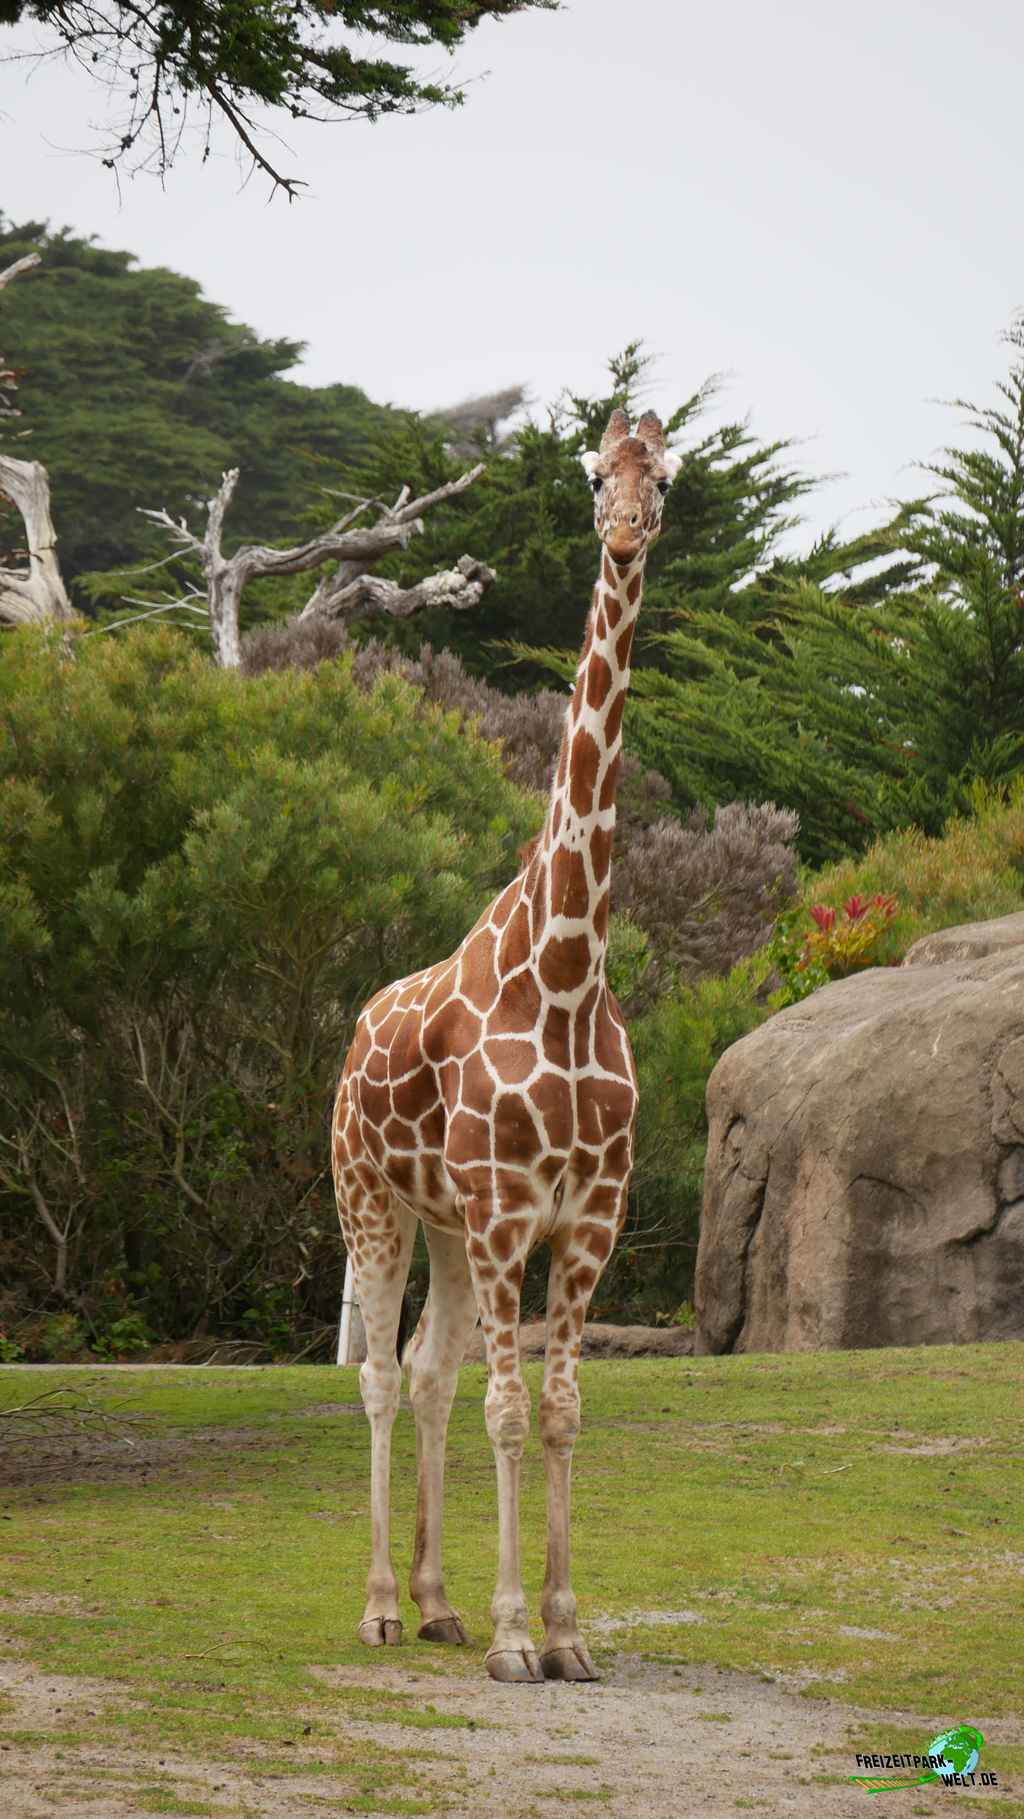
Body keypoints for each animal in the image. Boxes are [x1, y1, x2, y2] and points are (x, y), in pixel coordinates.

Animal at [331, 405, 680, 1680]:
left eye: (661, 476)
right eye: (591, 474)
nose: (622, 533)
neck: (568, 971)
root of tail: (349, 1042)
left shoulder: (586, 1216)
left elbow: (561, 1408)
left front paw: (567, 1632)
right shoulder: (501, 1208)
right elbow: (505, 1407)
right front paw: (517, 1638)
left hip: (438, 1220)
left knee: (429, 1373)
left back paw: (437, 1603)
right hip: (373, 1199)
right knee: (385, 1377)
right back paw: (383, 1606)